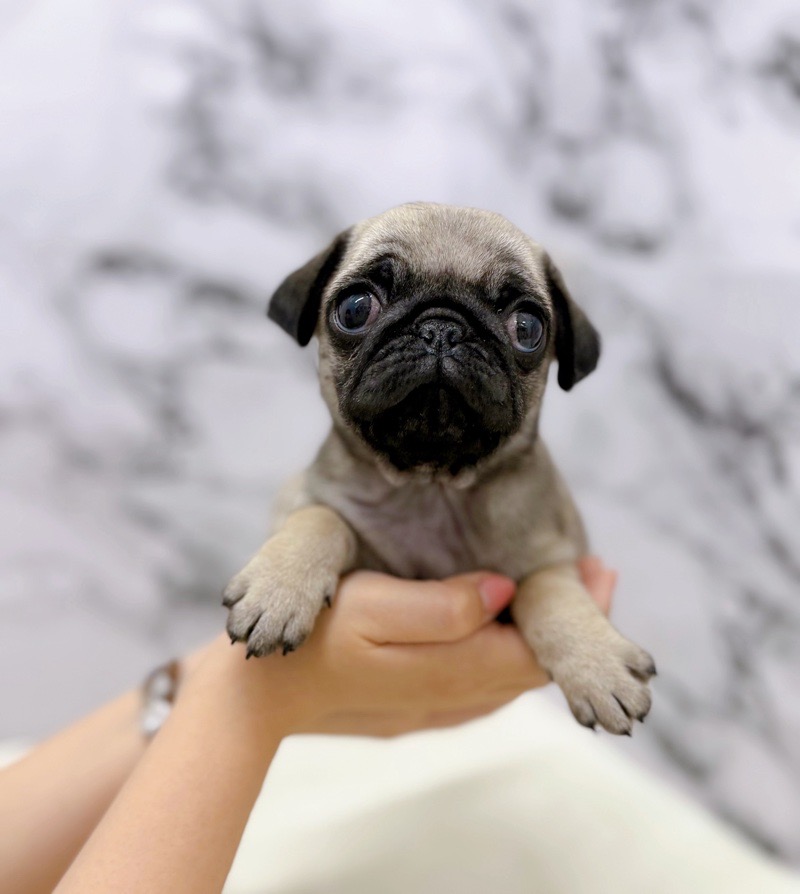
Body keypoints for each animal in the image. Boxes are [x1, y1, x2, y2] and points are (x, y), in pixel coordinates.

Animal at [223, 202, 654, 735]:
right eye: (354, 308)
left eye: (527, 327)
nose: (442, 328)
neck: (430, 484)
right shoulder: (310, 501)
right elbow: (321, 518)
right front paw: (279, 588)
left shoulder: (554, 552)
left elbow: (548, 588)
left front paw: (597, 664)